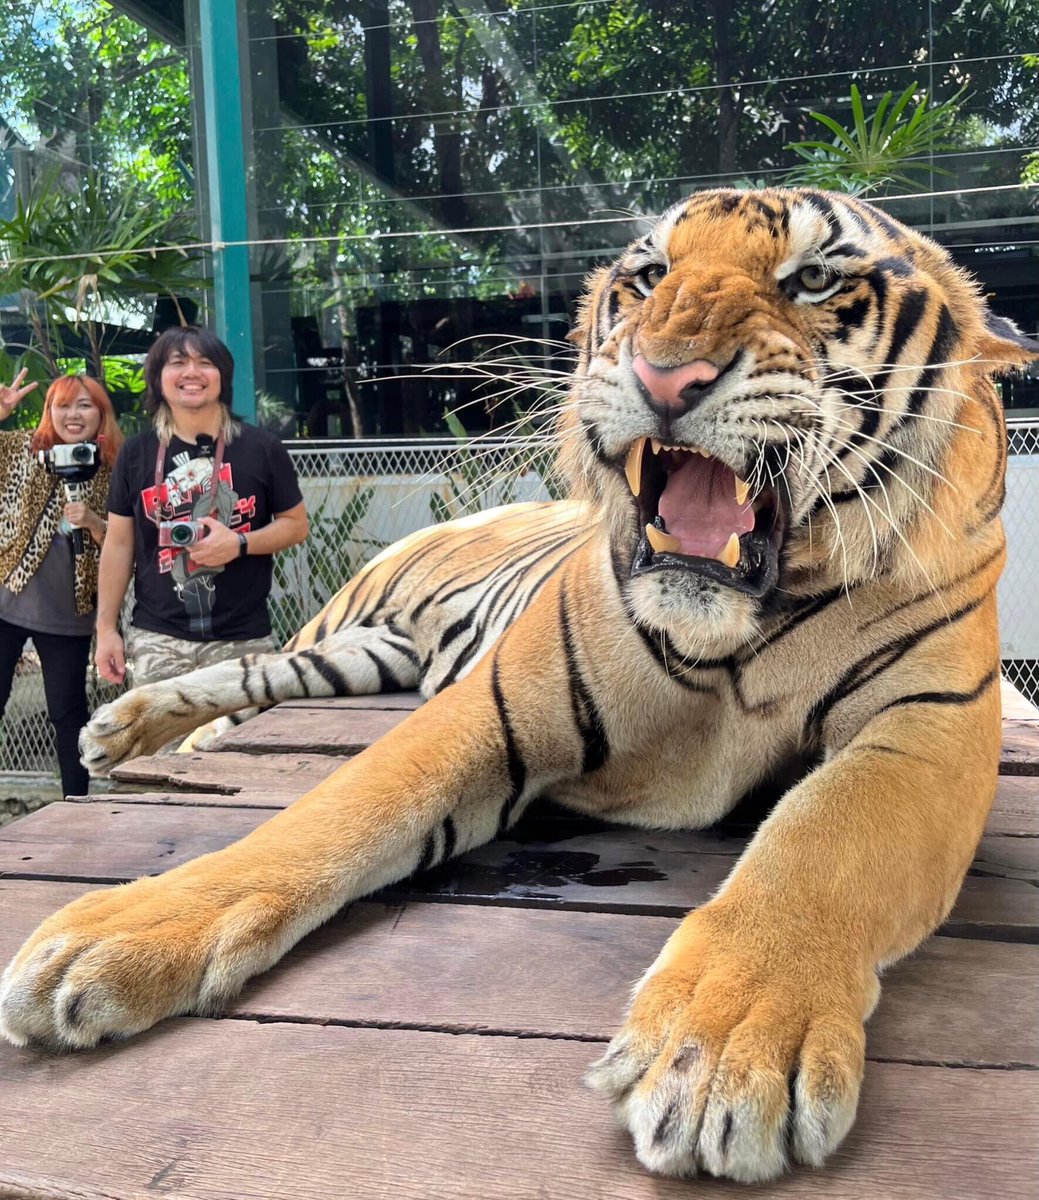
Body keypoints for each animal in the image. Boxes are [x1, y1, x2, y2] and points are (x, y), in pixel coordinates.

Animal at [2, 187, 1036, 1184]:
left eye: (813, 278)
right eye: (649, 274)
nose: (666, 376)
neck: (739, 628)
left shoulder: (923, 729)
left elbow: (819, 846)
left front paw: (720, 1052)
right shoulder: (492, 708)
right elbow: (333, 814)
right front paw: (120, 932)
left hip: (364, 653)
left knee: (255, 671)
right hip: (342, 623)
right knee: (247, 668)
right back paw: (127, 733)